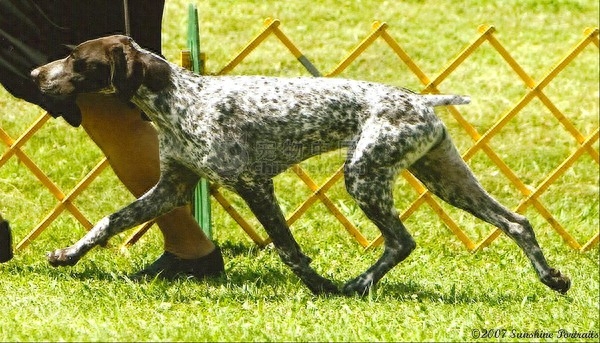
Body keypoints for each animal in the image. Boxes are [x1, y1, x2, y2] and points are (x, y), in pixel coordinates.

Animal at [30, 36, 568, 296]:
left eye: (77, 60)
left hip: (364, 177)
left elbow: (288, 249)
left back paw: (356, 286)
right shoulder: (172, 189)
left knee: (402, 240)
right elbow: (107, 222)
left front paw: (318, 287)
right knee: (517, 222)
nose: (36, 74)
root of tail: (421, 101)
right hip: (446, 179)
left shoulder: (254, 184)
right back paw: (553, 278)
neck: (180, 101)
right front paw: (67, 255)